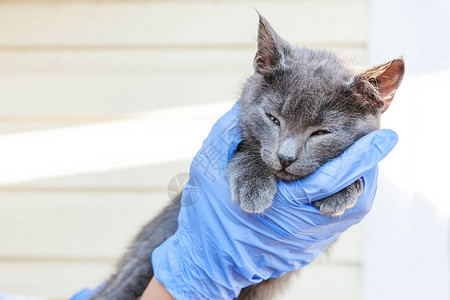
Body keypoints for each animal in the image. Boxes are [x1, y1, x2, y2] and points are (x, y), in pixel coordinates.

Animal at [91, 14, 404, 300]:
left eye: (321, 132)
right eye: (272, 118)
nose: (285, 156)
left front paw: (343, 189)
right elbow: (249, 151)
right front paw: (253, 188)